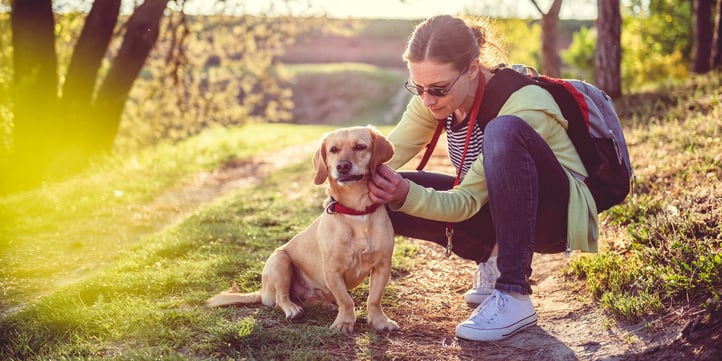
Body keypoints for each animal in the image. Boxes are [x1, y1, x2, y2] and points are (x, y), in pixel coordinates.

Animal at [205, 124, 396, 332]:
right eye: (333, 150)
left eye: (360, 147)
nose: (342, 166)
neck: (355, 212)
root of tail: (262, 291)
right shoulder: (332, 271)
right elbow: (346, 300)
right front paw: (345, 322)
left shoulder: (382, 266)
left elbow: (374, 299)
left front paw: (379, 320)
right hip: (280, 261)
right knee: (281, 299)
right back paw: (292, 309)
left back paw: (322, 304)